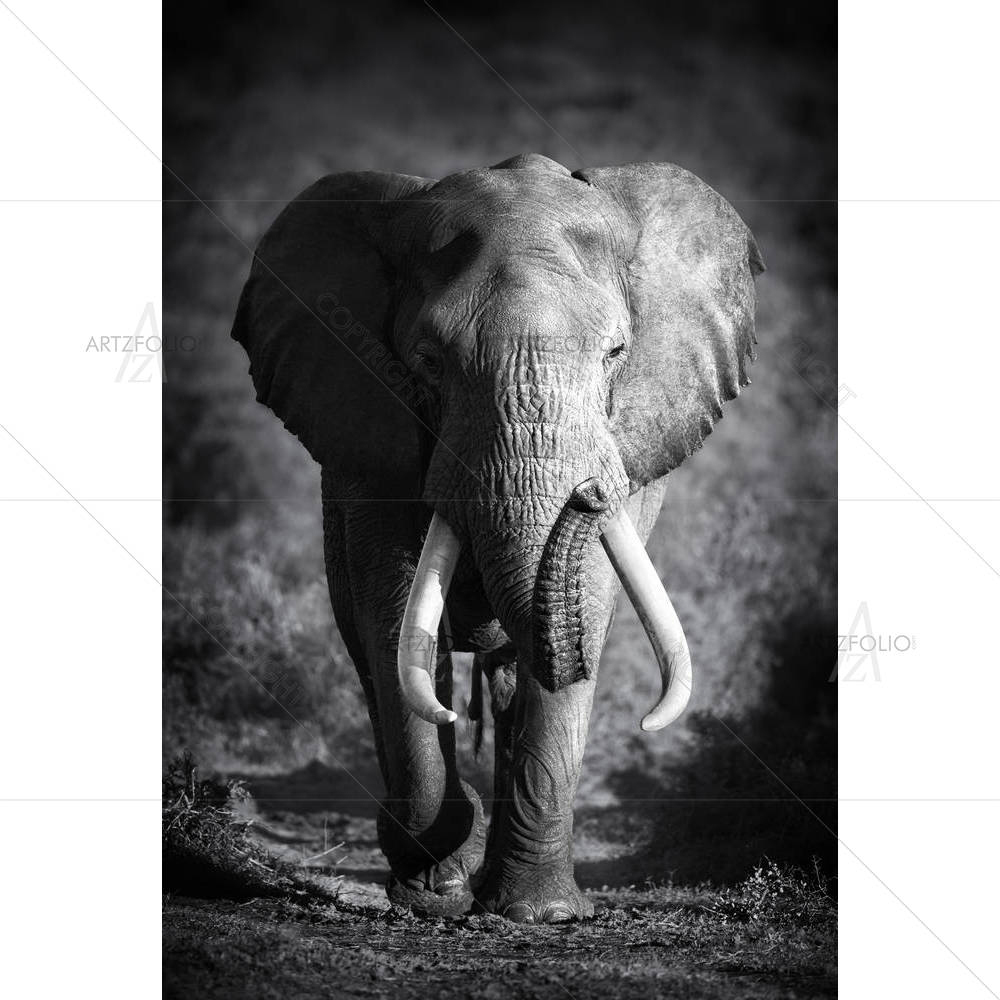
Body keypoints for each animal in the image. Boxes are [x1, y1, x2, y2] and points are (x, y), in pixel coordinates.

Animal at [232, 152, 764, 923]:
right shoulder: (370, 437)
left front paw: (540, 914)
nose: (588, 494)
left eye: (616, 353)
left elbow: (587, 603)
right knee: (370, 652)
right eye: (428, 361)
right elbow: (391, 611)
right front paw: (433, 895)